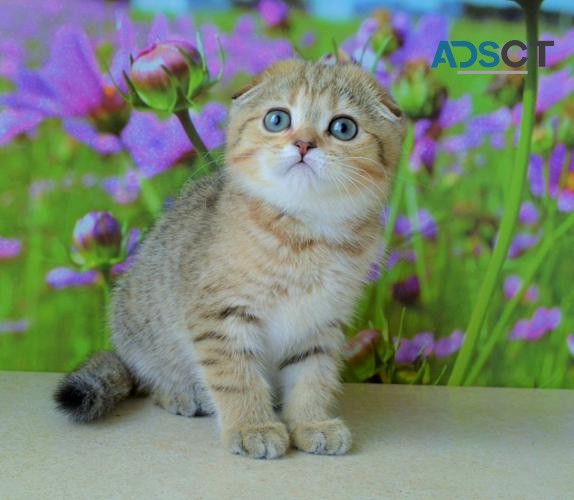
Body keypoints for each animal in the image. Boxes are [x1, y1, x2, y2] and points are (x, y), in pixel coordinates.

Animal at [53, 57, 404, 458]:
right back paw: (181, 393)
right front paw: (254, 426)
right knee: (152, 379)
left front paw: (311, 422)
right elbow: (237, 378)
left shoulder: (319, 323)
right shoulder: (221, 316)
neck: (306, 234)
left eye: (343, 128)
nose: (303, 143)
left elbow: (312, 377)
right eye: (277, 119)